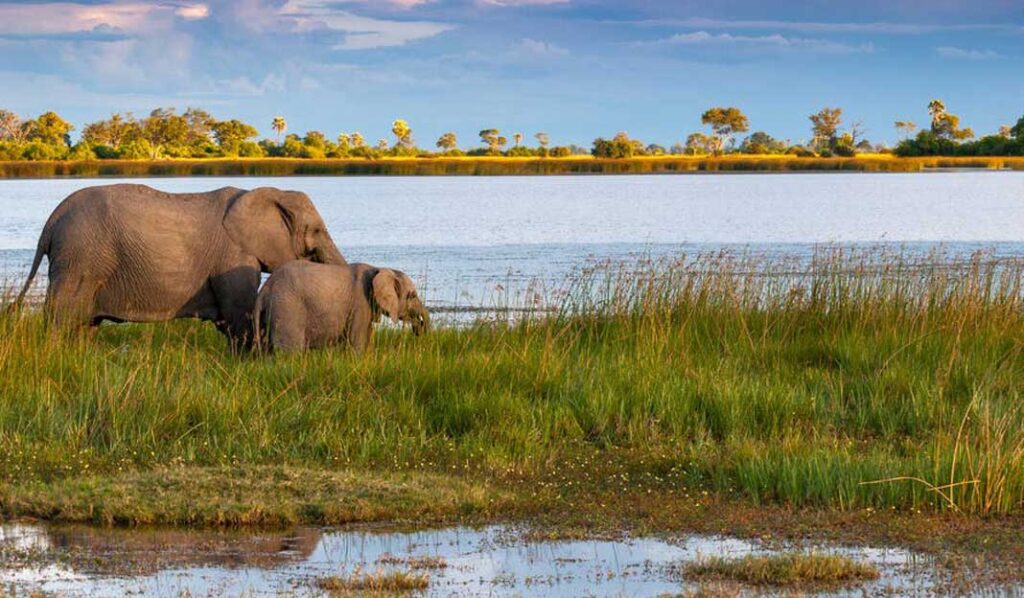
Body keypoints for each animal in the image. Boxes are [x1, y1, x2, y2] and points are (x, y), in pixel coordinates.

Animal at [14, 183, 346, 350]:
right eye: (316, 230)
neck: (268, 193)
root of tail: (52, 221)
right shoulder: (234, 254)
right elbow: (238, 314)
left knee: (85, 325)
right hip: (79, 259)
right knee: (61, 319)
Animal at [260, 260, 432, 352]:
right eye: (412, 296)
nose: (418, 331)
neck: (379, 269)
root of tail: (266, 288)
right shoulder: (360, 303)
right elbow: (358, 341)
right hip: (287, 308)